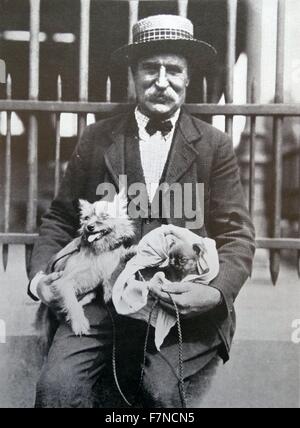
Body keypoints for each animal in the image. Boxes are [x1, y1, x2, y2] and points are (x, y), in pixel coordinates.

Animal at [35, 191, 137, 338]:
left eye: (104, 216)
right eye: (86, 218)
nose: (89, 227)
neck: (99, 250)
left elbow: (113, 269)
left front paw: (130, 253)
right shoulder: (64, 282)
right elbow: (71, 302)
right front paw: (79, 323)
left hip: (89, 295)